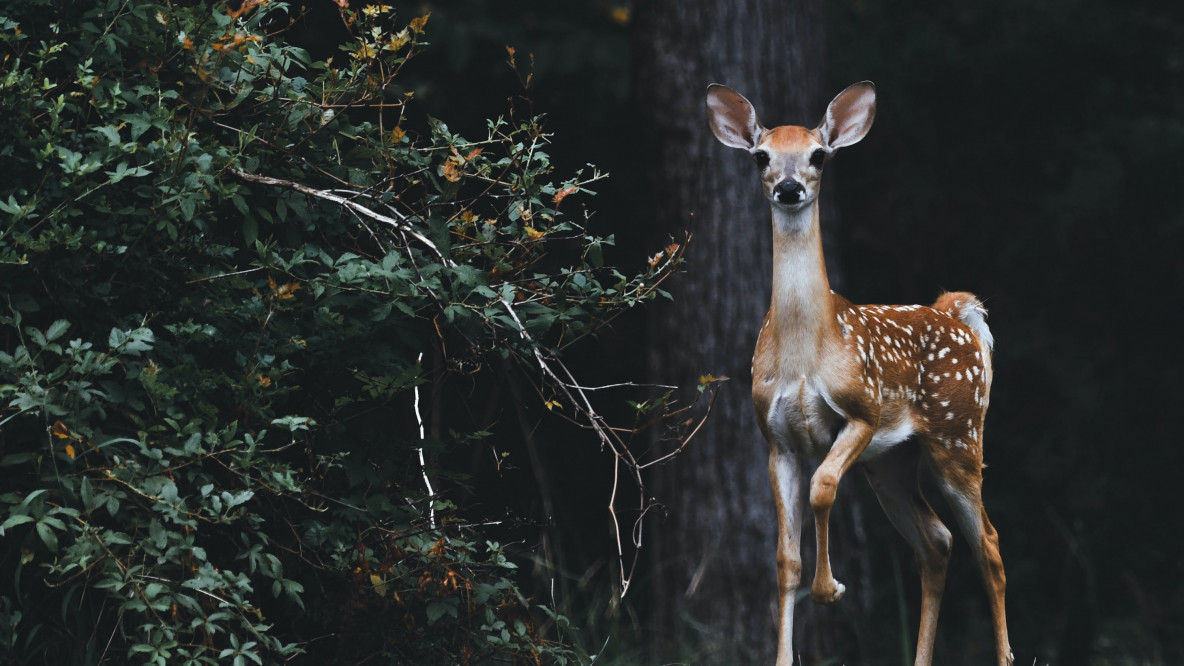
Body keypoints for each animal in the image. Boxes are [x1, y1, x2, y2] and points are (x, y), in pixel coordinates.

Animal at [705, 81, 1013, 663]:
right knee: (937, 541)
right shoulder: (775, 438)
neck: (806, 352)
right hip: (891, 463)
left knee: (987, 541)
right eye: (761, 156)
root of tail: (956, 311)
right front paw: (785, 651)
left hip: (958, 434)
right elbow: (785, 559)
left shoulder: (862, 411)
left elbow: (823, 487)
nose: (788, 188)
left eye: (818, 156)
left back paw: (1006, 655)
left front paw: (831, 589)